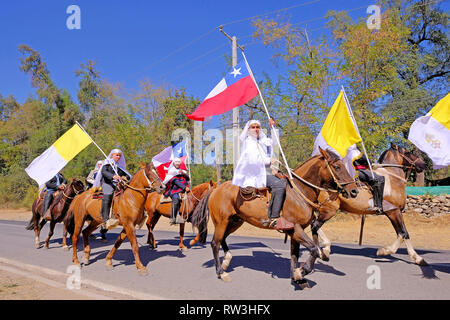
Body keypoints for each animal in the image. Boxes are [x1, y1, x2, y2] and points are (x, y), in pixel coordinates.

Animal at [190, 148, 358, 284]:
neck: (299, 192)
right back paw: (221, 272)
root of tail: (216, 189)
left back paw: (226, 261)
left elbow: (296, 255)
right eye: (337, 167)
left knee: (222, 239)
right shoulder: (296, 228)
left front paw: (297, 278)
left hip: (235, 222)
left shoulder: (295, 232)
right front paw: (301, 271)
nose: (354, 190)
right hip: (221, 222)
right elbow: (314, 249)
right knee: (215, 243)